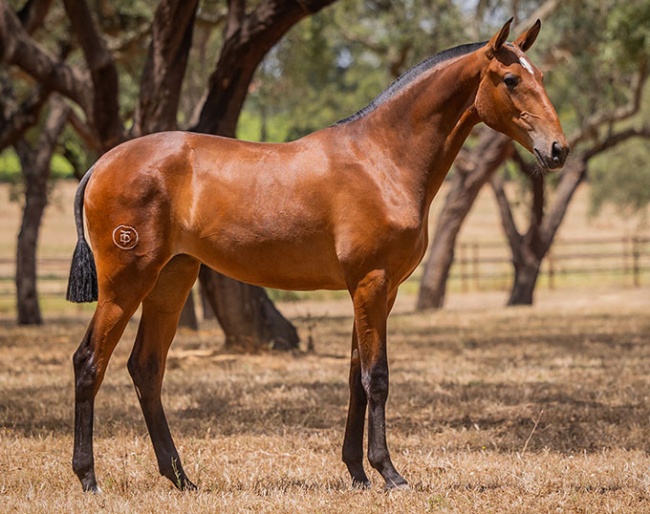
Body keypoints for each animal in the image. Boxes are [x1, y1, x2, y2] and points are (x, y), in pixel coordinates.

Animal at [67, 19, 568, 492]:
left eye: (541, 75)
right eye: (510, 79)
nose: (558, 150)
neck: (381, 159)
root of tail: (102, 163)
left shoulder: (378, 292)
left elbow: (356, 379)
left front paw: (357, 472)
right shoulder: (371, 283)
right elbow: (377, 378)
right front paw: (389, 473)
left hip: (171, 281)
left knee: (146, 368)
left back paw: (180, 478)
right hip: (126, 284)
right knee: (89, 362)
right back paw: (89, 478)